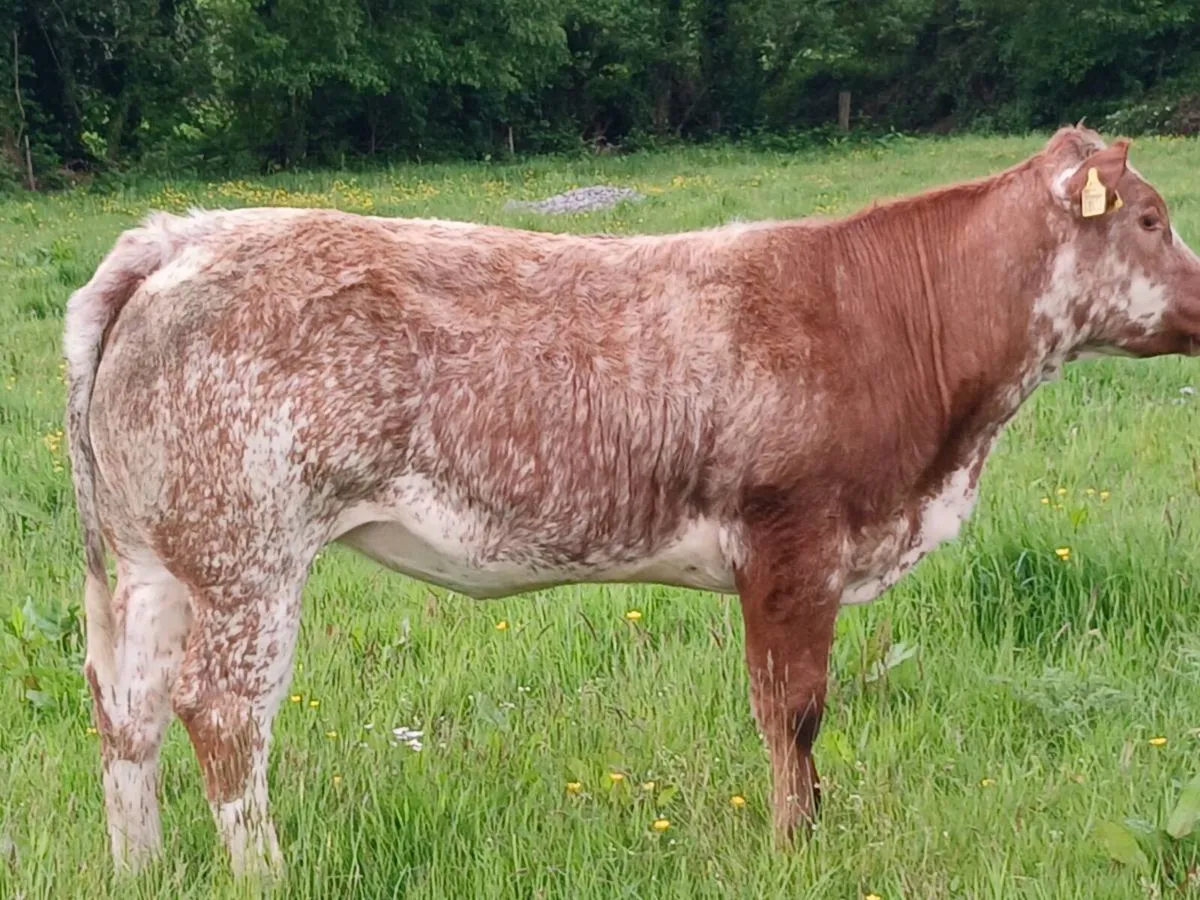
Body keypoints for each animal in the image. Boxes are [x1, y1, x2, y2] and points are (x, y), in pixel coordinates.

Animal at [63, 124, 1200, 876]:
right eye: (1151, 218)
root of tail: (182, 236)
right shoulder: (795, 540)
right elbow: (793, 712)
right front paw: (795, 848)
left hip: (159, 560)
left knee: (127, 711)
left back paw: (140, 871)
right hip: (249, 554)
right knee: (223, 715)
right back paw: (265, 875)